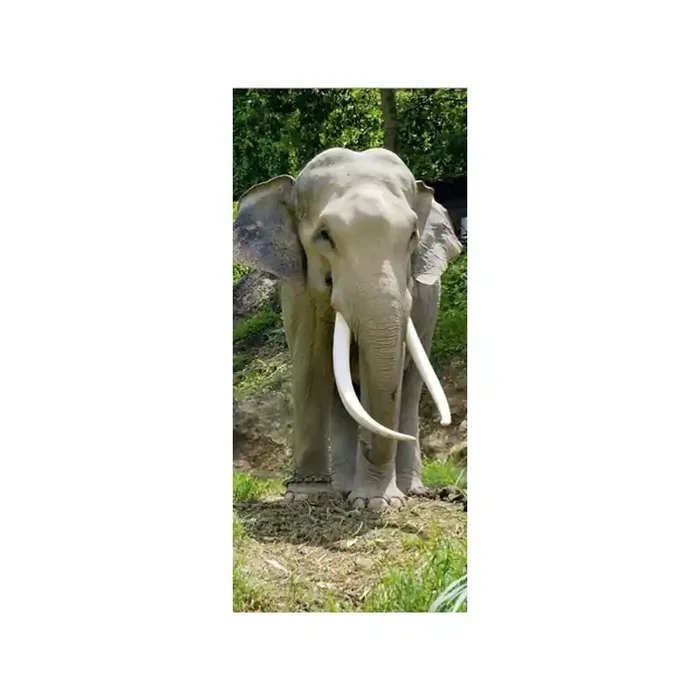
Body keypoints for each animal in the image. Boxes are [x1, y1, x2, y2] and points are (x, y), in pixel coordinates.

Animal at [233, 147, 462, 510]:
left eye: (412, 235)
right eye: (324, 236)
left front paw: (377, 503)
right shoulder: (298, 290)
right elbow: (311, 365)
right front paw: (306, 496)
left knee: (411, 388)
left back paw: (409, 489)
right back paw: (341, 487)